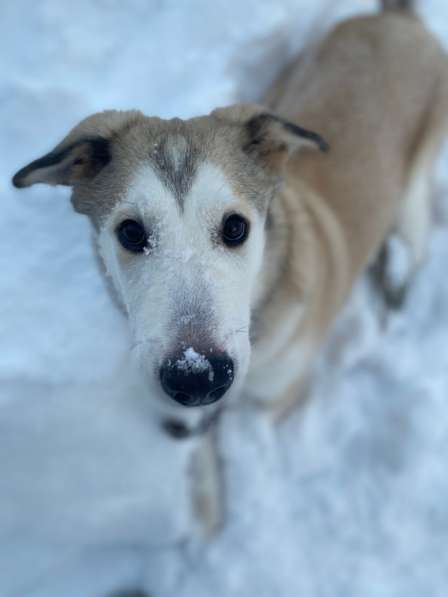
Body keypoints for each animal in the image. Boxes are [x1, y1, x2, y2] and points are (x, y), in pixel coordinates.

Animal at [10, 0, 448, 532]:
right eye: (131, 232)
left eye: (236, 227)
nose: (197, 378)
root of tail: (397, 18)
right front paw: (205, 506)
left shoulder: (276, 398)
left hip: (413, 198)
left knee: (412, 241)